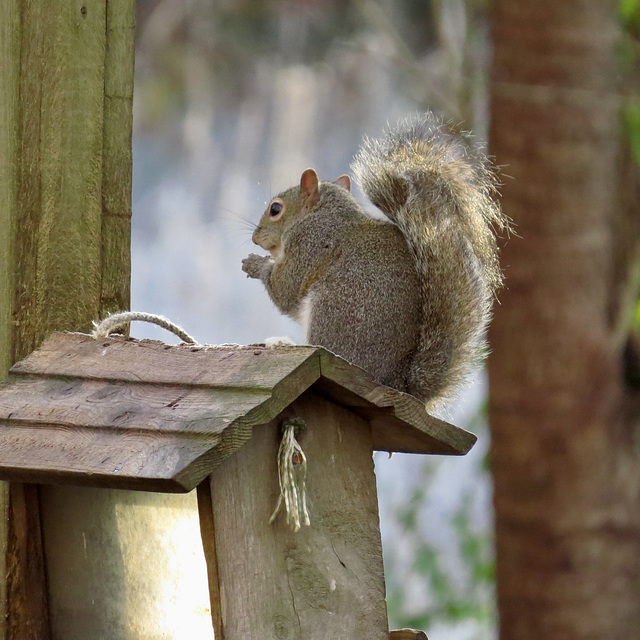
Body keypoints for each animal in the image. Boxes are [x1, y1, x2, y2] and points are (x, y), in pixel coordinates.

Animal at [242, 112, 508, 408]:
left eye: (275, 209)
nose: (255, 237)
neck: (320, 215)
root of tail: (397, 383)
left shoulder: (309, 244)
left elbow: (285, 290)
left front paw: (256, 264)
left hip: (332, 311)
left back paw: (284, 343)